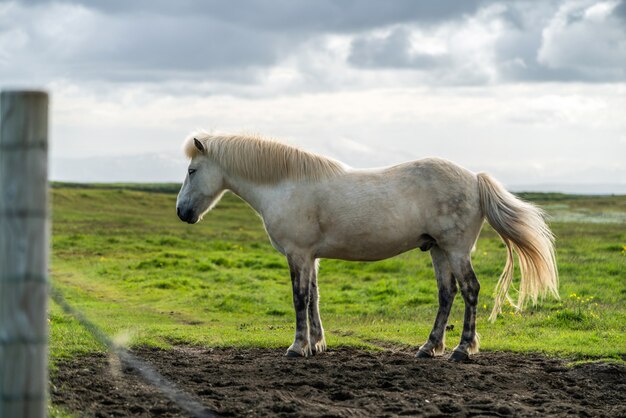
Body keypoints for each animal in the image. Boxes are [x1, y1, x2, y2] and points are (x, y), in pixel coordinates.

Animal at [174, 132, 556, 360]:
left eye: (192, 171)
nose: (182, 212)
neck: (285, 185)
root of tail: (474, 178)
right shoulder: (311, 257)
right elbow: (313, 297)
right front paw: (317, 343)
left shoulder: (298, 254)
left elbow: (299, 298)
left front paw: (298, 346)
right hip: (438, 250)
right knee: (447, 294)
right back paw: (429, 346)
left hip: (456, 249)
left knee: (470, 289)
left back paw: (462, 349)